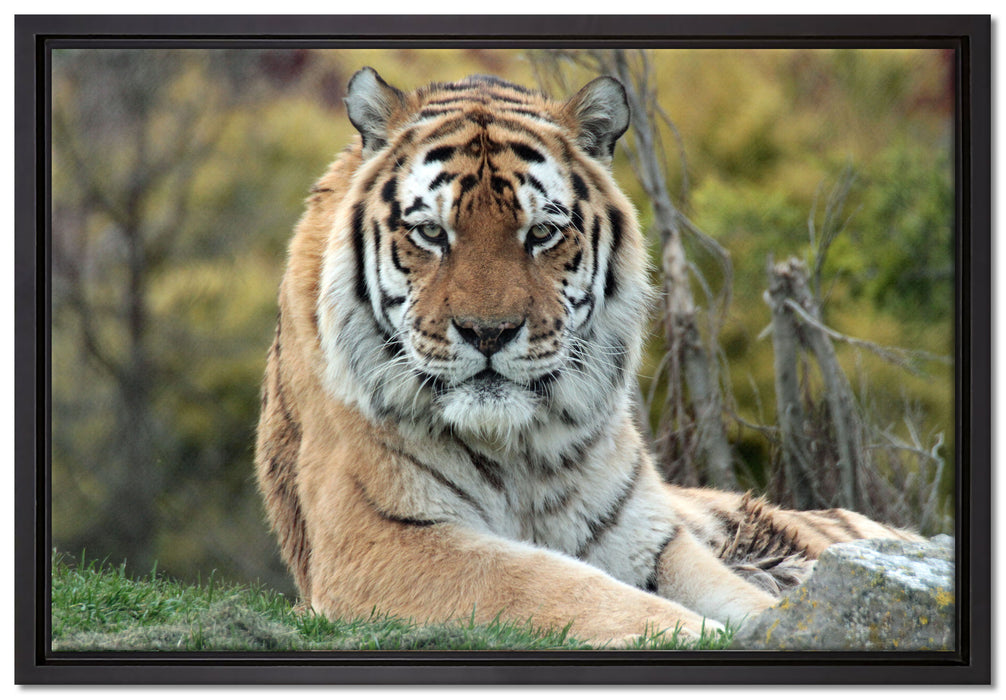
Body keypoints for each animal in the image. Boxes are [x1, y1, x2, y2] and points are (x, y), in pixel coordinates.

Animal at [255, 67, 919, 645]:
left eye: (541, 234)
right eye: (432, 234)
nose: (489, 334)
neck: (517, 451)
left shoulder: (649, 535)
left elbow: (731, 592)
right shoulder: (383, 541)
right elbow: (548, 583)